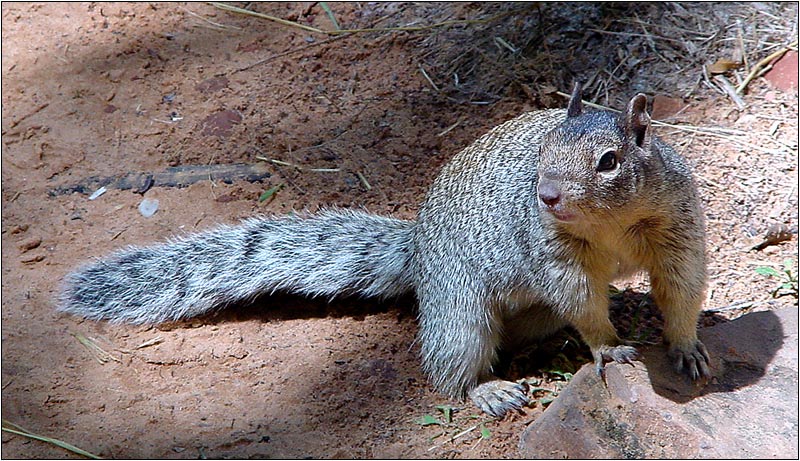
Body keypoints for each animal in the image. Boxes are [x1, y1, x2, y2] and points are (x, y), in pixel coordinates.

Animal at [62, 82, 712, 416]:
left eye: (609, 161)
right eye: (545, 148)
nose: (546, 193)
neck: (611, 225)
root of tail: (418, 252)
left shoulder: (676, 227)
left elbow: (682, 287)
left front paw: (687, 347)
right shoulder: (555, 253)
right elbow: (581, 301)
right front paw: (607, 346)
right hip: (459, 310)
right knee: (449, 367)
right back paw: (490, 389)